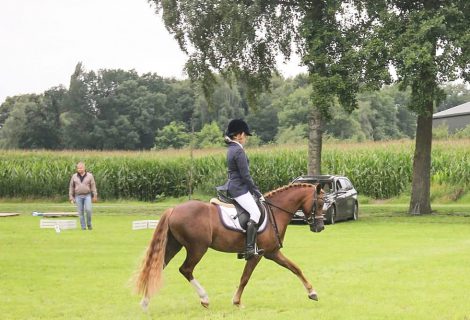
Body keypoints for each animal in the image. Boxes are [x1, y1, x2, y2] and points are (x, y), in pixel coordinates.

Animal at [134, 182, 324, 310]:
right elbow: (245, 277)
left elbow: (295, 268)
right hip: (197, 248)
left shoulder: (272, 253)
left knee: (158, 267)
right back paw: (204, 299)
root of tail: (173, 209)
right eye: (321, 203)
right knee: (186, 269)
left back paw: (145, 302)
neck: (274, 212)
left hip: (174, 245)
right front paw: (237, 302)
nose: (320, 227)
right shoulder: (257, 254)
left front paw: (312, 292)